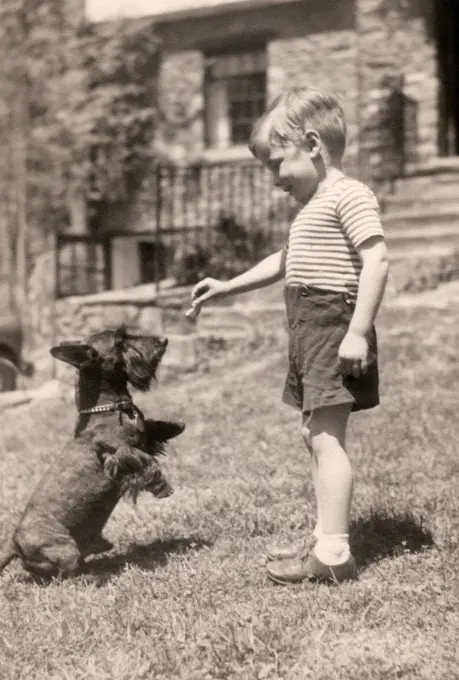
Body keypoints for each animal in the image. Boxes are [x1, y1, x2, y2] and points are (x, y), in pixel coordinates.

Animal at [0, 326, 184, 576]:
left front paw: (175, 427)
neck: (105, 408)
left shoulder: (141, 435)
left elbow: (151, 429)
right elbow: (146, 461)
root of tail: (14, 543)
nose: (163, 340)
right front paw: (162, 486)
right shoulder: (121, 455)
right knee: (63, 572)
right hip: (65, 551)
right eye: (119, 342)